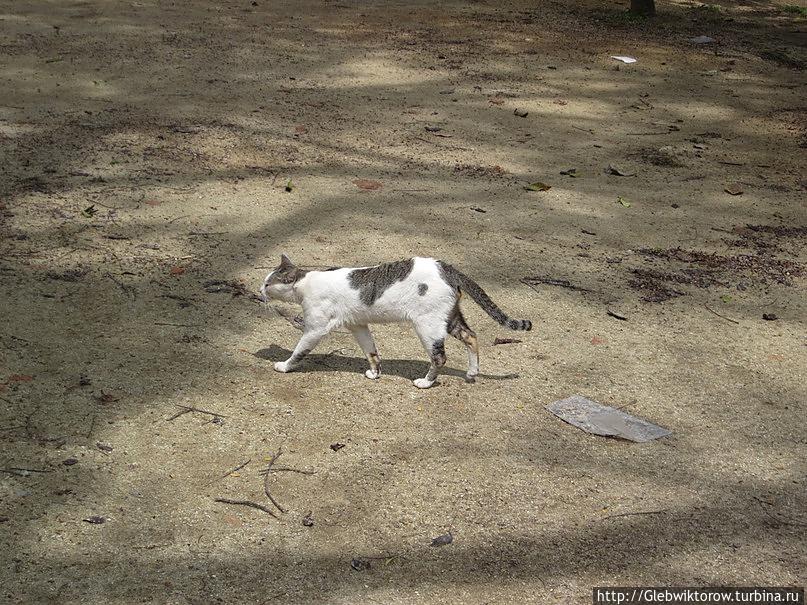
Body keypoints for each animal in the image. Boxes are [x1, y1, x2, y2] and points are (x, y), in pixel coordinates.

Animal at [262, 254, 532, 386]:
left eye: (267, 283)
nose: (259, 289)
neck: (305, 283)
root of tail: (447, 267)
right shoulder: (358, 325)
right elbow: (371, 351)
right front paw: (375, 373)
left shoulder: (315, 328)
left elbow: (299, 351)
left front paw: (284, 366)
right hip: (450, 319)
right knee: (472, 337)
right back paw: (472, 372)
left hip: (428, 325)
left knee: (440, 357)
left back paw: (426, 382)